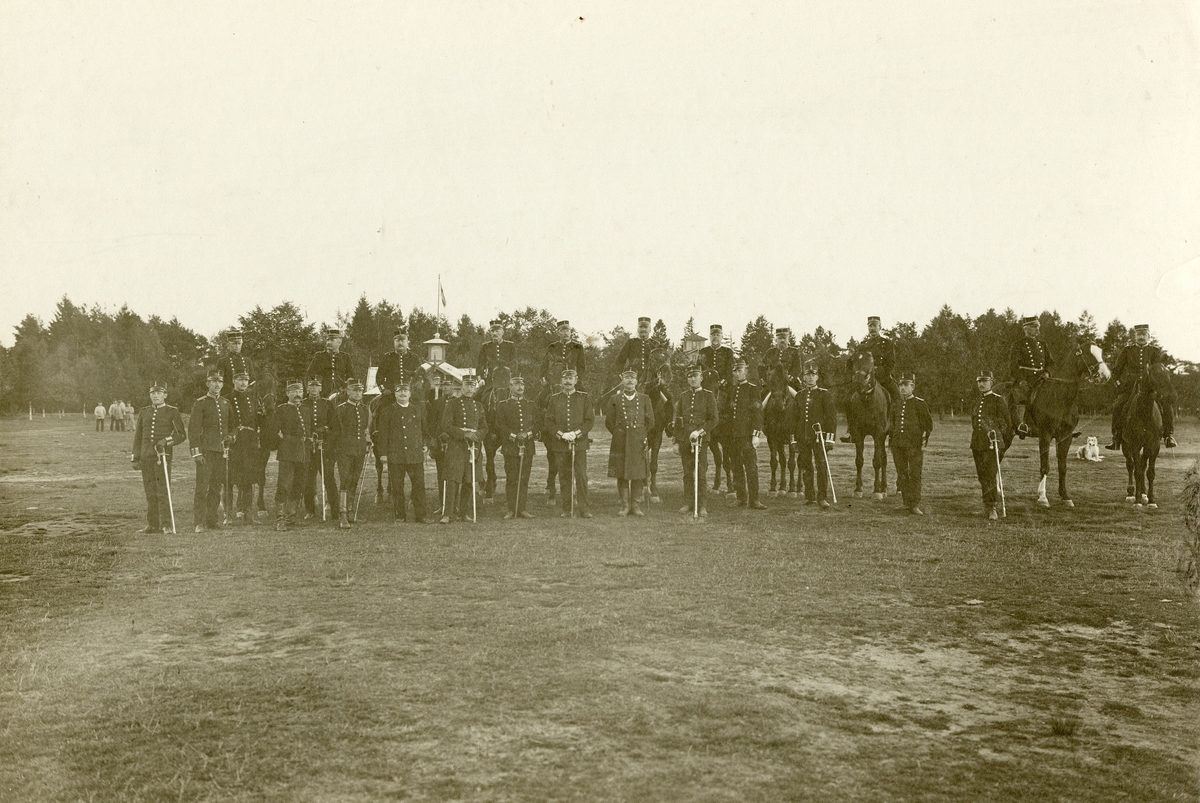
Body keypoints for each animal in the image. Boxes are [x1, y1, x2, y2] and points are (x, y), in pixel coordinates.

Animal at [844, 352, 892, 496]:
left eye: (871, 362)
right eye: (854, 362)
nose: (859, 381)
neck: (867, 402)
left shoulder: (878, 434)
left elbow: (877, 461)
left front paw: (876, 490)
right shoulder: (858, 434)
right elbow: (859, 461)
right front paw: (858, 489)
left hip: (883, 436)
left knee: (883, 459)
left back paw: (884, 488)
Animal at [1027, 340, 1108, 506]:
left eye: (1101, 352)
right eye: (1089, 354)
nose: (1106, 375)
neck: (1059, 397)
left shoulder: (1065, 437)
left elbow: (1062, 467)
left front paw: (1065, 496)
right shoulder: (1045, 436)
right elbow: (1045, 466)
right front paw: (1043, 497)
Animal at [1118, 362, 1166, 506]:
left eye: (1167, 373)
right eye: (1155, 375)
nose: (1169, 396)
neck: (1145, 413)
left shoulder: (1154, 445)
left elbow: (1149, 472)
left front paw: (1151, 500)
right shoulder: (1134, 444)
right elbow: (1137, 471)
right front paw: (1137, 500)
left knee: (1142, 465)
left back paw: (1144, 493)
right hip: (1126, 445)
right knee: (1131, 465)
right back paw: (1131, 493)